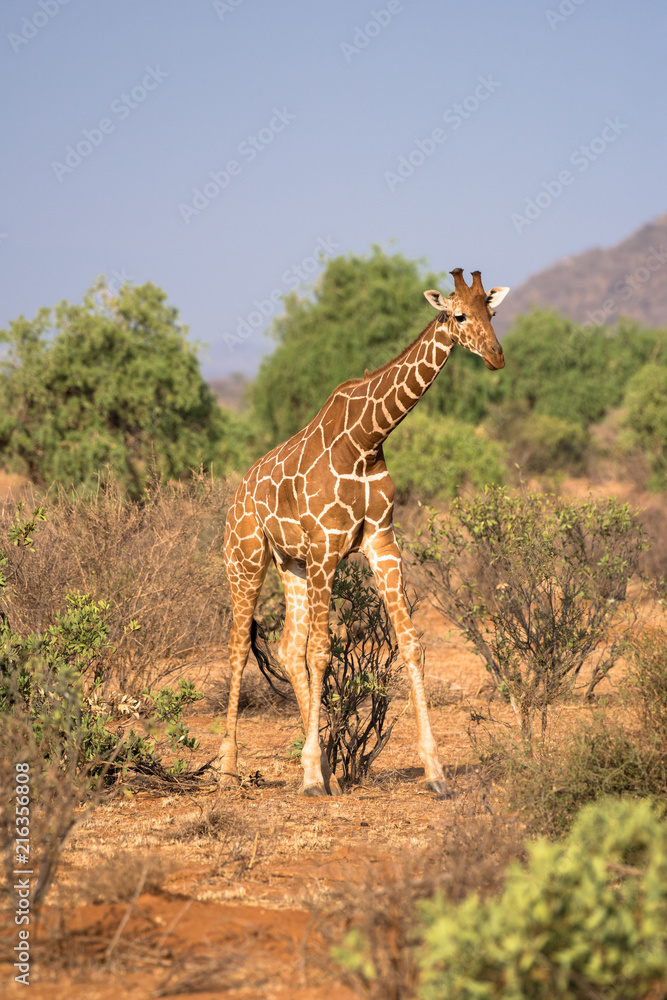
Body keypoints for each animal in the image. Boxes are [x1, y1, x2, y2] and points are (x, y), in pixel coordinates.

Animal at [218, 268, 510, 796]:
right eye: (459, 315)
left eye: (491, 312)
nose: (496, 356)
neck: (366, 439)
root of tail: (235, 496)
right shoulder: (327, 546)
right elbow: (322, 652)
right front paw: (310, 778)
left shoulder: (381, 542)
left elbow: (410, 642)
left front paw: (435, 772)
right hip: (246, 557)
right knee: (238, 648)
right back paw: (230, 767)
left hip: (291, 563)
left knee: (286, 647)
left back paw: (325, 769)